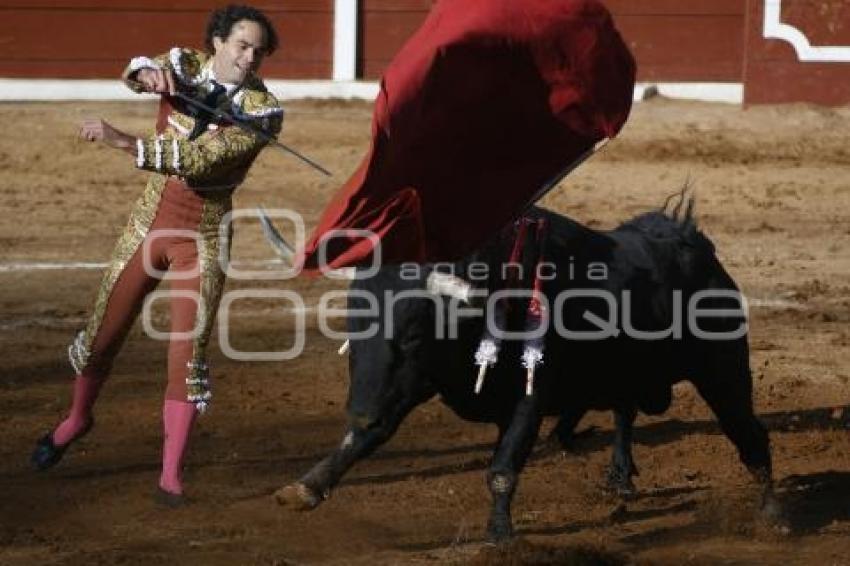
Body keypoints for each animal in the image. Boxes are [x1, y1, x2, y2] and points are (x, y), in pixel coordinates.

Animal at [274, 203, 780, 540]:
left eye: (415, 333)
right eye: (353, 322)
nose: (357, 409)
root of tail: (694, 245)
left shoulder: (529, 397)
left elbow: (503, 466)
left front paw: (500, 538)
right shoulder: (408, 384)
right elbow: (364, 437)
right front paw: (306, 488)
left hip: (724, 371)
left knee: (750, 435)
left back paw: (773, 516)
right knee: (624, 411)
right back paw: (619, 477)